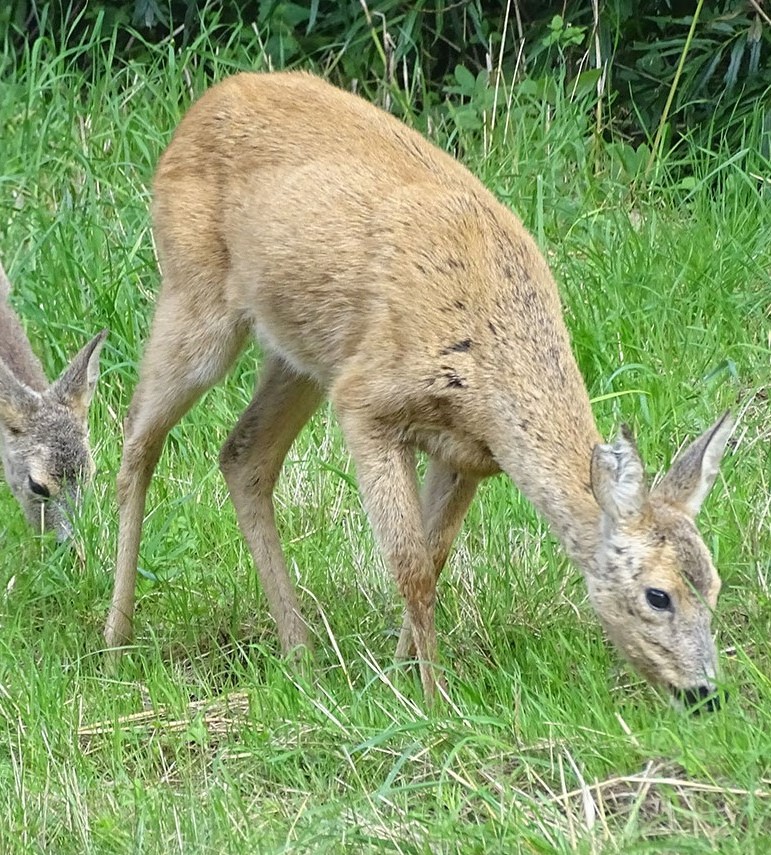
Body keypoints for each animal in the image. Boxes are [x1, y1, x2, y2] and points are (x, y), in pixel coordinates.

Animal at [104, 73, 736, 712]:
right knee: (137, 437)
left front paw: (403, 670)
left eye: (714, 584)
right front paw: (432, 700)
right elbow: (410, 565)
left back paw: (301, 653)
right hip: (196, 298)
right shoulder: (366, 403)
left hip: (300, 358)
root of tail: (205, 104)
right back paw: (116, 641)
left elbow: (435, 556)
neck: (487, 356)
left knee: (243, 455)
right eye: (658, 595)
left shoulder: (467, 455)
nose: (705, 693)